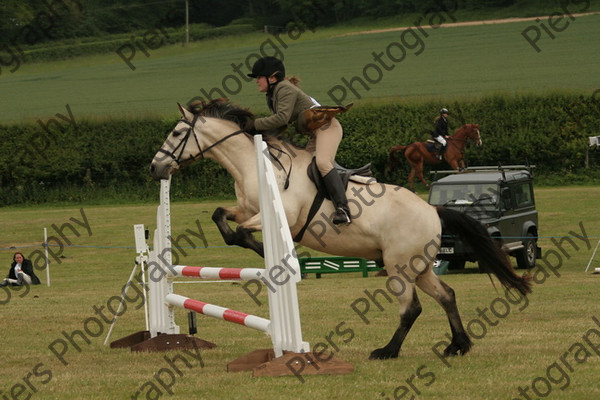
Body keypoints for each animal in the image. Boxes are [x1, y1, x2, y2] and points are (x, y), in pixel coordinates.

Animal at [150, 101, 528, 360]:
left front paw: (269, 254)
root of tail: (433, 210)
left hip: (400, 265)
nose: (156, 168)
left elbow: (242, 231)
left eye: (178, 133)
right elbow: (221, 217)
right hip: (419, 267)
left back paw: (387, 351)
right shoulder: (245, 209)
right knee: (446, 295)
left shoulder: (282, 216)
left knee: (411, 308)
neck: (251, 164)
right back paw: (457, 345)